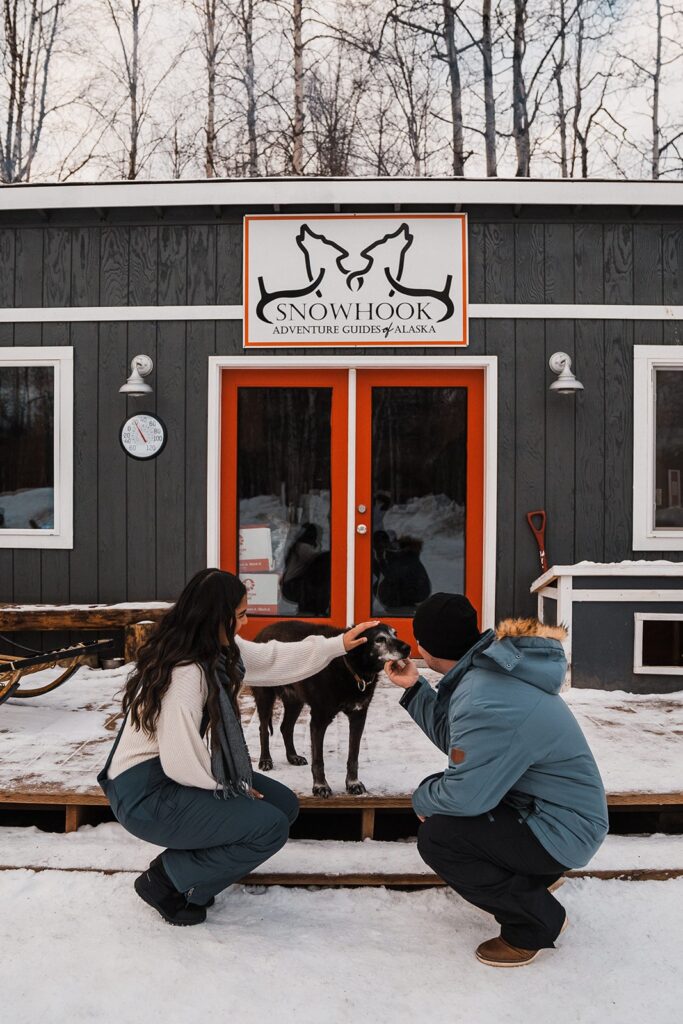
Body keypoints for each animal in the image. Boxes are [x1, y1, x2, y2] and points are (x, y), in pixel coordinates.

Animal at [252, 618, 409, 794]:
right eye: (380, 639)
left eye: (395, 633)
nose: (408, 648)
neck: (349, 667)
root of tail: (261, 632)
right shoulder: (319, 719)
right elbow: (318, 760)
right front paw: (320, 786)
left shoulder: (358, 717)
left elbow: (353, 756)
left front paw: (352, 783)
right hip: (265, 697)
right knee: (263, 729)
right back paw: (265, 760)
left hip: (295, 701)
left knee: (286, 727)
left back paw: (293, 756)